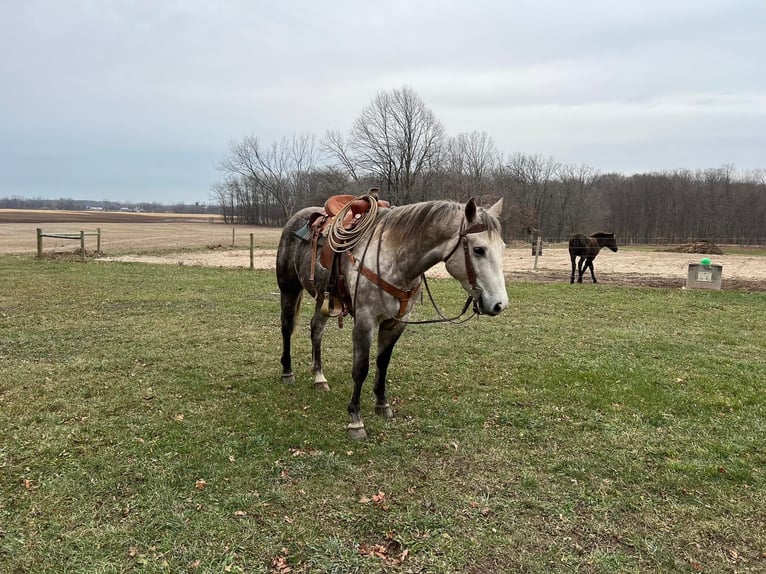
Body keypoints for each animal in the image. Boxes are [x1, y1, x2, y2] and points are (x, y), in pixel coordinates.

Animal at [276, 198, 510, 440]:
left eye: (502, 247)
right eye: (478, 249)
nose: (499, 304)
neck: (396, 259)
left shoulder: (397, 322)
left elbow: (383, 362)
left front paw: (382, 404)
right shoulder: (365, 321)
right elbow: (361, 368)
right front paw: (355, 420)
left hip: (325, 300)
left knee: (316, 330)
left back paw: (319, 378)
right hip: (289, 289)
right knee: (287, 327)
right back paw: (287, 372)